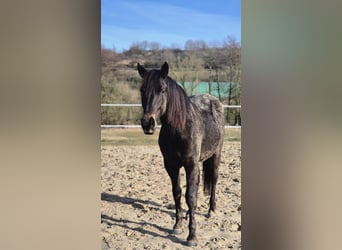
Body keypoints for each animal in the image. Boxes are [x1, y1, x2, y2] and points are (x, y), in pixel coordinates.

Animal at [136, 62, 224, 246]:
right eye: (142, 89)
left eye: (162, 89)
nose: (147, 123)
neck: (179, 129)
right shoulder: (171, 165)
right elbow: (177, 193)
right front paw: (178, 225)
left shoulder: (191, 165)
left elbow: (190, 196)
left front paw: (192, 236)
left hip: (216, 155)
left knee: (213, 180)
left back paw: (211, 211)